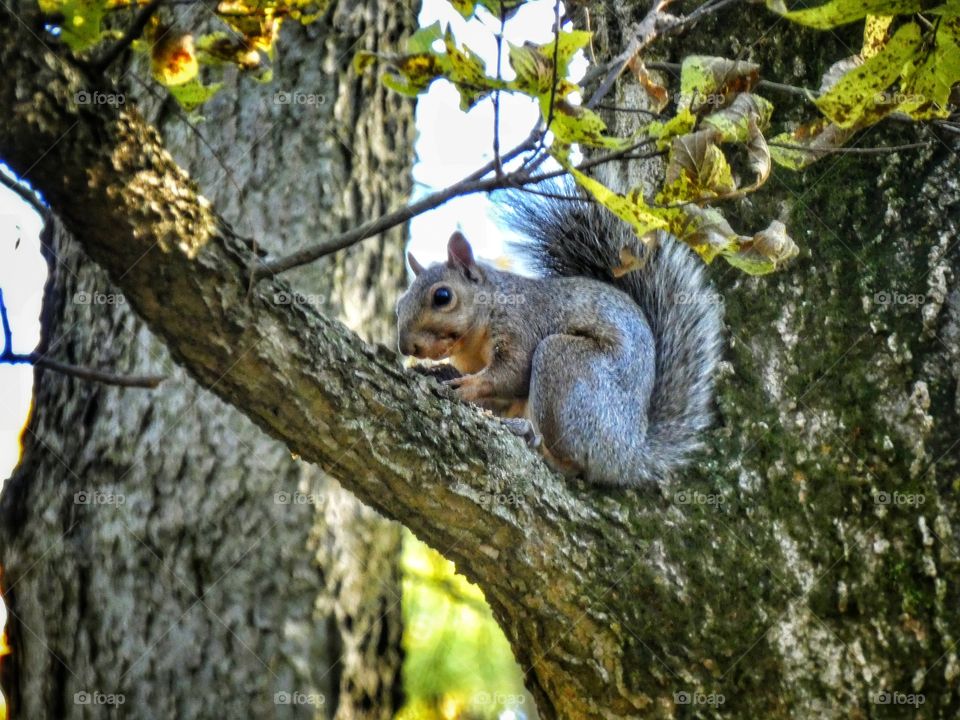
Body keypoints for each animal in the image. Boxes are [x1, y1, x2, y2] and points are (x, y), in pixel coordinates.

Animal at [396, 190, 722, 487]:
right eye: (399, 305)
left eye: (442, 296)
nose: (405, 346)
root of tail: (629, 456)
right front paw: (439, 371)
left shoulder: (523, 326)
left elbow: (512, 373)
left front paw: (467, 385)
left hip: (565, 366)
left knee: (576, 464)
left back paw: (535, 440)